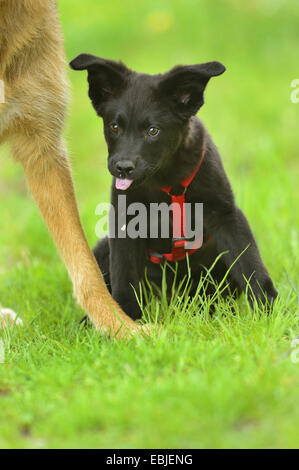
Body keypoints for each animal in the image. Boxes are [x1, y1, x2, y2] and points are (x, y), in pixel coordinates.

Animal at [71, 54, 278, 320]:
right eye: (114, 127)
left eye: (153, 131)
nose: (123, 168)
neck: (165, 179)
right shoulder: (124, 224)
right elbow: (124, 278)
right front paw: (125, 320)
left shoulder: (227, 215)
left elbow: (251, 266)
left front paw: (270, 312)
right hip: (102, 249)